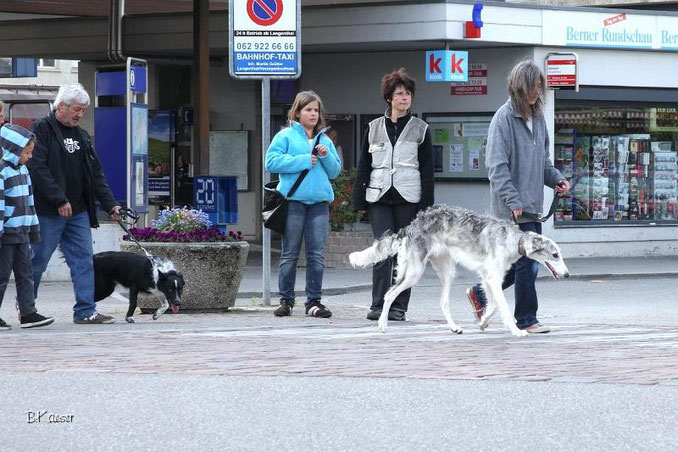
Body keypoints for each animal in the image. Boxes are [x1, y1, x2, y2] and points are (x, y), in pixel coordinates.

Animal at [348, 207, 572, 338]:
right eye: (554, 255)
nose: (568, 275)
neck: (512, 240)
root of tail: (410, 226)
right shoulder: (493, 278)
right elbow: (504, 308)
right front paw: (517, 331)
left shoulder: (488, 277)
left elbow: (492, 306)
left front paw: (482, 321)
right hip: (414, 272)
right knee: (389, 294)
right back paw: (382, 324)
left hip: (447, 271)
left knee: (443, 302)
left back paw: (454, 327)